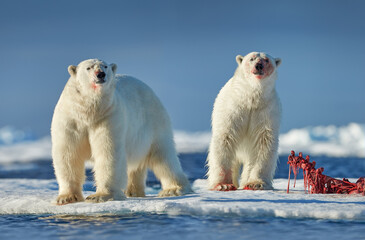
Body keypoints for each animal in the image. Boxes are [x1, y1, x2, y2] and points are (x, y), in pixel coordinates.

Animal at [53, 58, 193, 204]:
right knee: (138, 164)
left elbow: (107, 152)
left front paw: (99, 195)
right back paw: (132, 191)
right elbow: (68, 154)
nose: (100, 74)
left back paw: (173, 189)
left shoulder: (108, 116)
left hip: (154, 122)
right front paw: (66, 197)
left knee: (163, 156)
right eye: (89, 68)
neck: (89, 111)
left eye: (105, 66)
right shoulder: (71, 120)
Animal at [206, 51, 280, 190]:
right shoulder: (233, 108)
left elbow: (264, 144)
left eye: (266, 60)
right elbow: (225, 139)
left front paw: (256, 183)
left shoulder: (266, 112)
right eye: (251, 59)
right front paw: (223, 185)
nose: (259, 65)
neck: (251, 97)